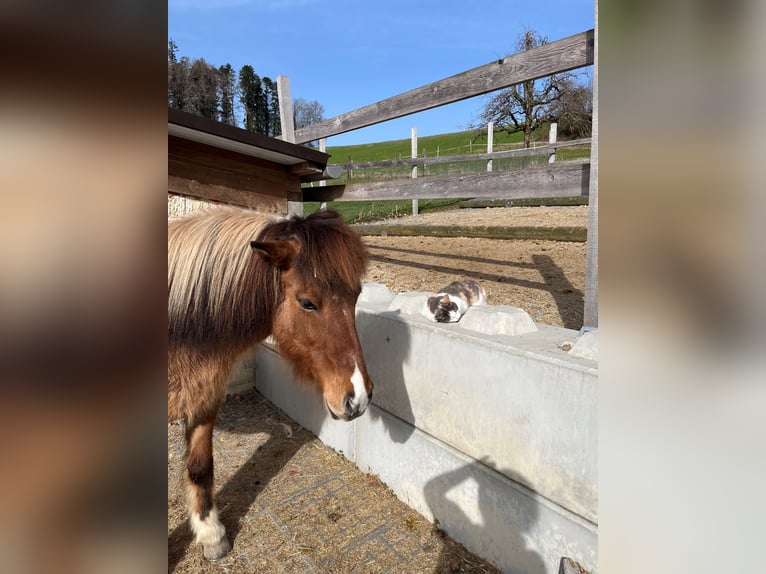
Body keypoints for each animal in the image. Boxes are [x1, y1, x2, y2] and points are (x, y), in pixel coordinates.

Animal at [168, 208, 374, 560]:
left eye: (356, 296)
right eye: (307, 302)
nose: (358, 397)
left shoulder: (204, 398)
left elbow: (200, 467)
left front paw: (211, 534)